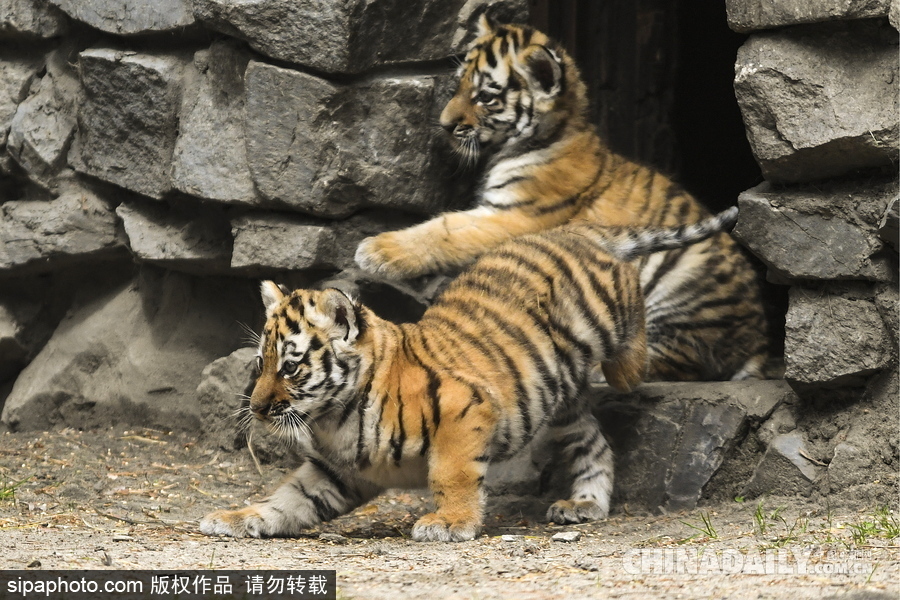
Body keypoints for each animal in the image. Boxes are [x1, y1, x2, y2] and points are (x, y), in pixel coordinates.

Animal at [200, 208, 738, 542]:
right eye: (260, 364)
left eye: (290, 366)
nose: (256, 408)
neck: (335, 417)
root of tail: (577, 230)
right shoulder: (337, 469)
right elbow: (288, 498)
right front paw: (239, 517)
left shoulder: (464, 408)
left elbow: (453, 473)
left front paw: (449, 522)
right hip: (559, 401)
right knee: (594, 444)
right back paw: (584, 504)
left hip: (612, 320)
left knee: (634, 330)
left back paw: (625, 367)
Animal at [355, 16, 772, 382]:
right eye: (458, 86)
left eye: (485, 97)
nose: (443, 126)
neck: (550, 133)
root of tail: (758, 341)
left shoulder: (514, 216)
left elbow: (444, 230)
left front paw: (375, 251)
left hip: (675, 278)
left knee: (678, 362)